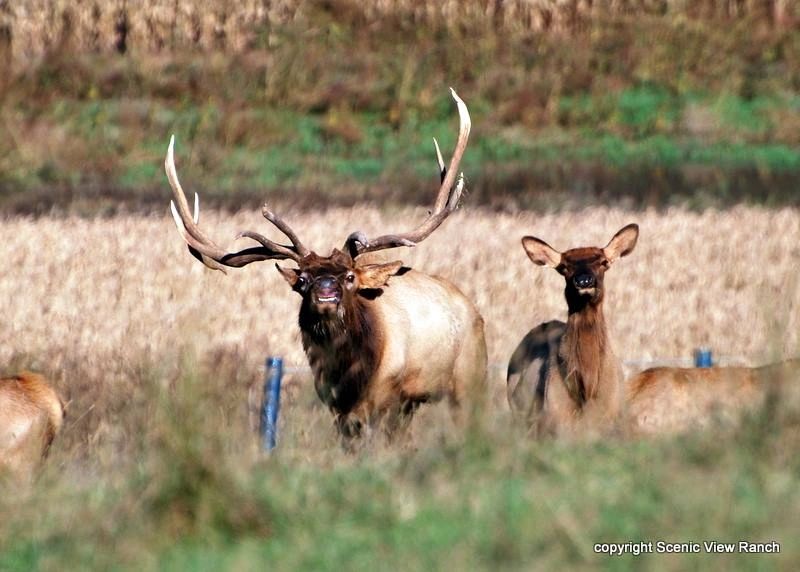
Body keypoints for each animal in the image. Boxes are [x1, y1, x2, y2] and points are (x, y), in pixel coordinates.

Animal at [165, 89, 488, 444]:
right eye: (303, 279)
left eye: (349, 277)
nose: (326, 293)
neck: (351, 376)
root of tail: (472, 307)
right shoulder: (336, 406)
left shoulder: (389, 395)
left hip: (468, 377)